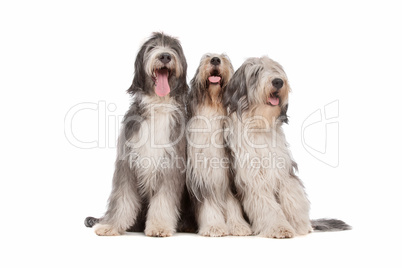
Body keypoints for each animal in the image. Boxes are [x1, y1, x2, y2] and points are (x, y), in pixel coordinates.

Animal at [85, 32, 193, 236]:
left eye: (174, 48)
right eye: (152, 47)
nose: (165, 56)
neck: (158, 105)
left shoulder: (171, 165)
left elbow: (163, 200)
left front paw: (159, 226)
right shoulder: (126, 162)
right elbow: (122, 197)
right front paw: (111, 226)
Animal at [185, 54, 251, 237]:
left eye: (224, 58)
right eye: (206, 57)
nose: (215, 59)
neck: (214, 106)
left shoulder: (231, 177)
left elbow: (233, 204)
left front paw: (238, 226)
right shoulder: (202, 174)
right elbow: (209, 205)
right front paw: (214, 226)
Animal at [223, 55, 348, 238]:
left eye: (276, 69)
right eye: (256, 72)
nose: (278, 81)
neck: (259, 125)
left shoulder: (283, 171)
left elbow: (292, 197)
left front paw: (299, 226)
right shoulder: (253, 178)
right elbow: (267, 205)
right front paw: (279, 227)